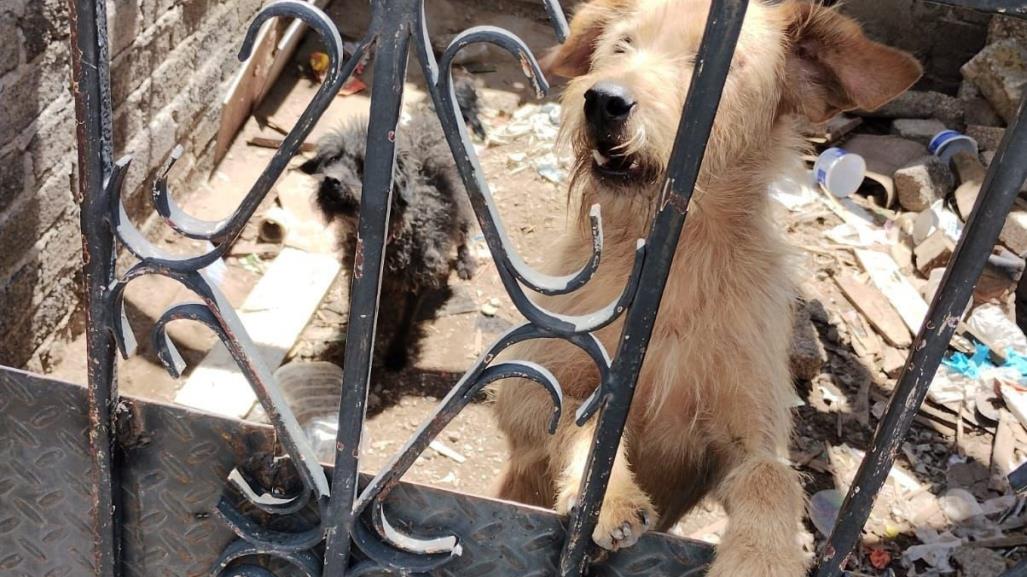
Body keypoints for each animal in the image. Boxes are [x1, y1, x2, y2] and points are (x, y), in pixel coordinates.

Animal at [301, 103, 478, 367]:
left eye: (364, 167)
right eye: (332, 159)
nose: (331, 180)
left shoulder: (417, 280)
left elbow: (405, 322)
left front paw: (396, 353)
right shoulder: (357, 280)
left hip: (463, 207)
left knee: (463, 235)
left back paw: (466, 262)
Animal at [490, 1, 924, 574]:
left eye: (714, 65)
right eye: (621, 44)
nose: (604, 100)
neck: (680, 260)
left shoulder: (749, 429)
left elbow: (772, 476)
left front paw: (761, 557)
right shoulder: (528, 387)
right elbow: (589, 417)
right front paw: (611, 498)